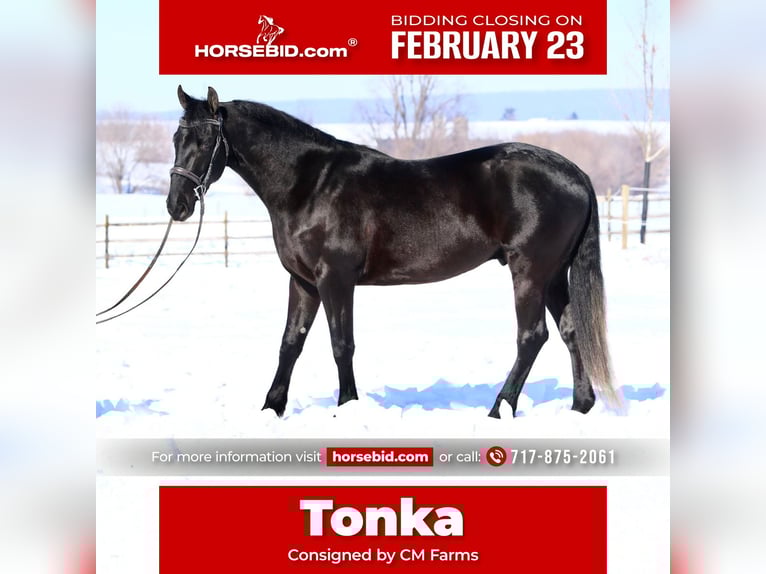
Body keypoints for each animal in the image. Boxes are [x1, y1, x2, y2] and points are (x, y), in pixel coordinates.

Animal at [167, 86, 617, 419]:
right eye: (176, 138)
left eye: (206, 141)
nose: (177, 205)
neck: (310, 185)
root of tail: (576, 173)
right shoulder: (303, 282)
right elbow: (290, 343)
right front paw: (271, 408)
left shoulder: (335, 279)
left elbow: (341, 343)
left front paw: (347, 406)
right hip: (554, 275)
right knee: (571, 332)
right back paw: (580, 406)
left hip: (530, 272)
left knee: (532, 336)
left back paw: (499, 410)